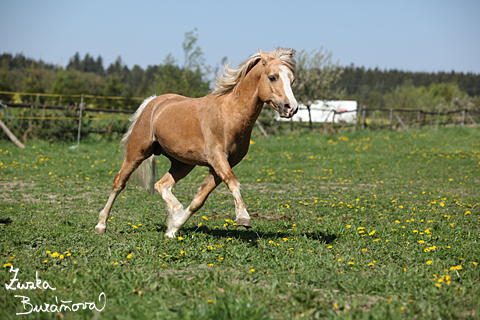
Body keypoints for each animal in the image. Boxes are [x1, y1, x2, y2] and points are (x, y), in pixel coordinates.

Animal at [94, 47, 296, 238]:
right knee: (119, 182)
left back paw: (174, 211)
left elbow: (199, 200)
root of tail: (153, 102)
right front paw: (243, 218)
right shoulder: (218, 158)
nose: (291, 108)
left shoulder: (219, 166)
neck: (228, 115)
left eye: (292, 80)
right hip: (137, 152)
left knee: (161, 185)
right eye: (272, 77)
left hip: (182, 163)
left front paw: (173, 228)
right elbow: (233, 182)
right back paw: (101, 225)